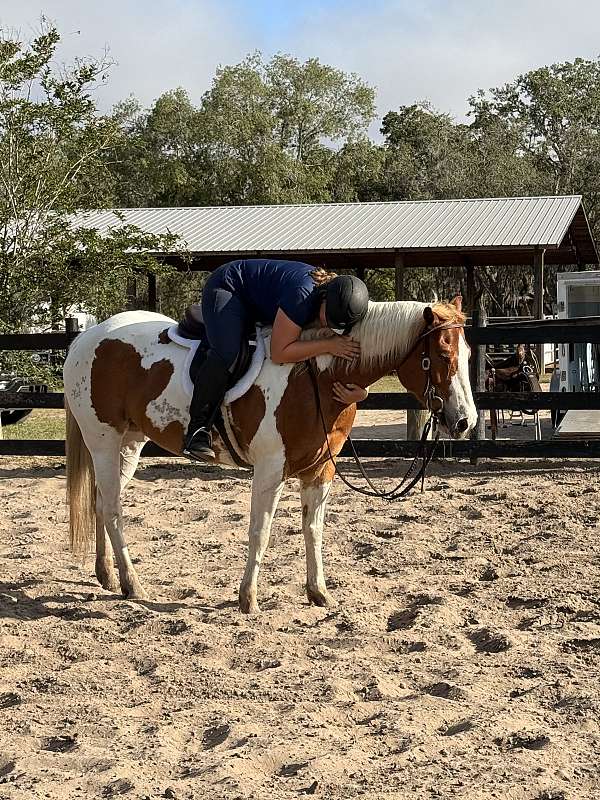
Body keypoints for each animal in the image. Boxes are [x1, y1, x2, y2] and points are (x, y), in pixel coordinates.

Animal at [63, 297, 477, 613]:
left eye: (468, 353)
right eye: (442, 355)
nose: (464, 421)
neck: (317, 375)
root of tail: (87, 337)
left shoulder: (320, 471)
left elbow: (314, 530)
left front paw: (318, 593)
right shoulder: (270, 468)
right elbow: (260, 531)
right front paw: (248, 599)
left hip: (129, 445)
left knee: (100, 502)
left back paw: (107, 575)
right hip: (103, 441)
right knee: (112, 509)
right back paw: (132, 584)